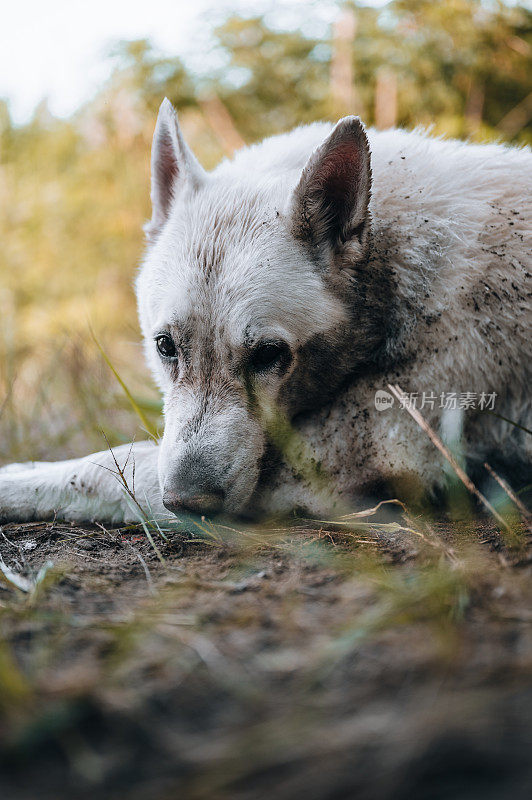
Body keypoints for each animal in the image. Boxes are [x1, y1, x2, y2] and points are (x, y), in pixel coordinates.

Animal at [1, 98, 532, 524]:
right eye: (165, 347)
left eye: (269, 355)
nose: (188, 503)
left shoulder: (336, 463)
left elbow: (109, 468)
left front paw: (15, 480)